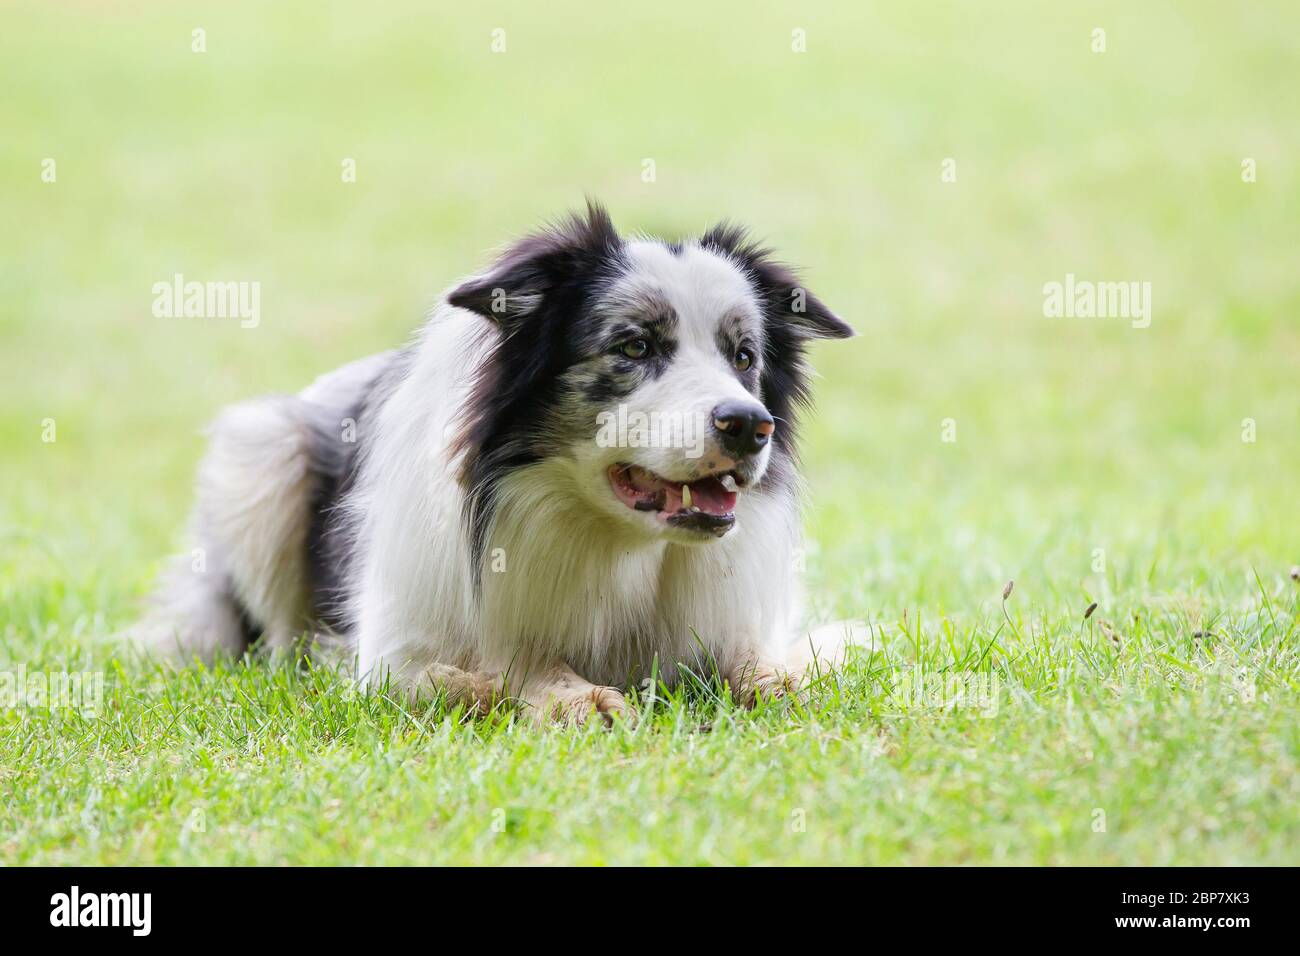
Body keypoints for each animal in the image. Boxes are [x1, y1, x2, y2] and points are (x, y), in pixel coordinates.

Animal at [137, 204, 857, 723]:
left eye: (744, 357)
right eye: (634, 346)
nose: (749, 426)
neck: (613, 544)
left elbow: (765, 668)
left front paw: (781, 681)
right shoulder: (392, 656)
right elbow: (486, 676)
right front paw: (571, 695)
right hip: (262, 452)